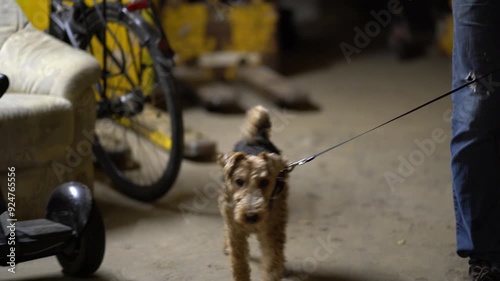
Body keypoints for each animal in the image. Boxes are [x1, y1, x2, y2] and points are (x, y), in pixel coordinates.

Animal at [218, 105, 290, 280]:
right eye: (239, 181)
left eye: (264, 182)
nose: (251, 216)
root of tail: (256, 137)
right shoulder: (236, 233)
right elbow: (239, 264)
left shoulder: (271, 233)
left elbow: (272, 264)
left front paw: (275, 272)